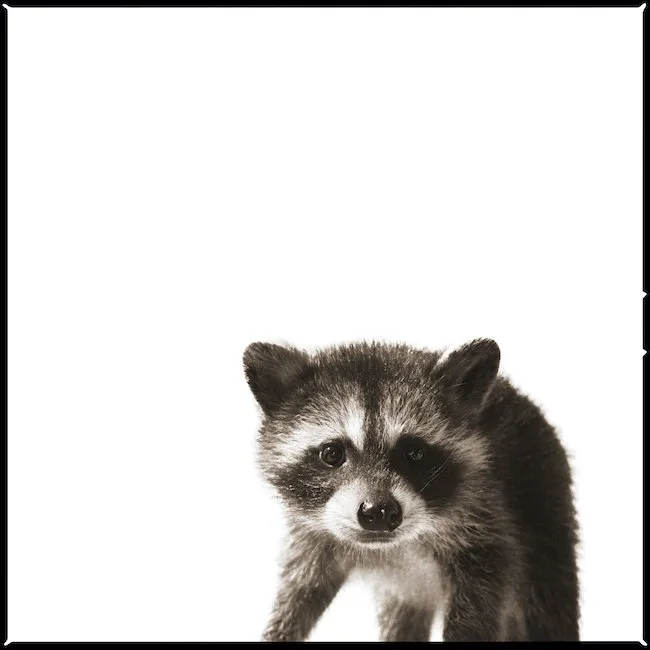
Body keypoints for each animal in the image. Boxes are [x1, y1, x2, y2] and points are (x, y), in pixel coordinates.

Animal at [242, 339, 580, 642]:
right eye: (332, 453)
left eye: (415, 453)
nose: (378, 512)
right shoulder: (312, 537)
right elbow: (300, 592)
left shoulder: (485, 527)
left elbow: (478, 603)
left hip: (545, 509)